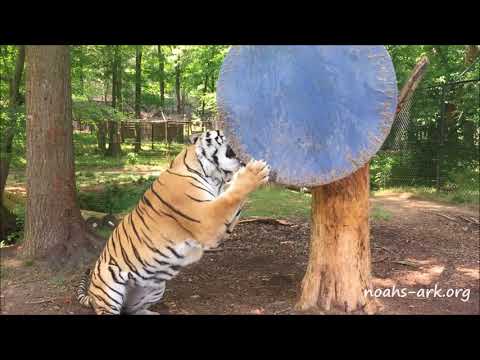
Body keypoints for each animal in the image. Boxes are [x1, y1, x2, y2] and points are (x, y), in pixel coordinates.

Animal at [75, 130, 270, 316]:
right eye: (222, 134)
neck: (215, 179)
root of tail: (92, 295)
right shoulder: (207, 219)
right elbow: (231, 197)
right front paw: (255, 171)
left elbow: (233, 198)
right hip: (110, 288)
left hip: (155, 288)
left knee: (130, 310)